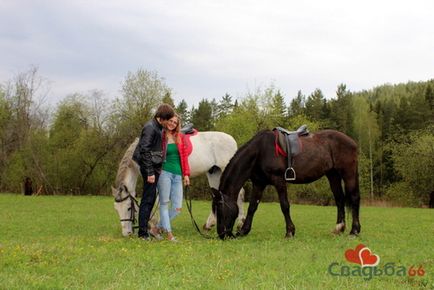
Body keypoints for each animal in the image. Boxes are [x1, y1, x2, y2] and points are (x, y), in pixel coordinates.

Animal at [112, 131, 244, 238]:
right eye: (116, 209)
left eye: (129, 208)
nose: (126, 233)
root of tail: (232, 140)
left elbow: (156, 202)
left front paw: (155, 226)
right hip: (214, 173)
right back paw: (210, 224)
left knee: (239, 193)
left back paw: (240, 223)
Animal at [212, 130, 362, 240]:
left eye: (220, 209)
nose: (221, 234)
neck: (260, 151)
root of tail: (352, 142)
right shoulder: (259, 184)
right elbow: (252, 207)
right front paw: (244, 231)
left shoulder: (279, 181)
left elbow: (284, 206)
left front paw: (290, 232)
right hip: (333, 175)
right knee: (339, 199)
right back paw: (339, 228)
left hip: (348, 173)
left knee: (354, 198)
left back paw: (354, 231)